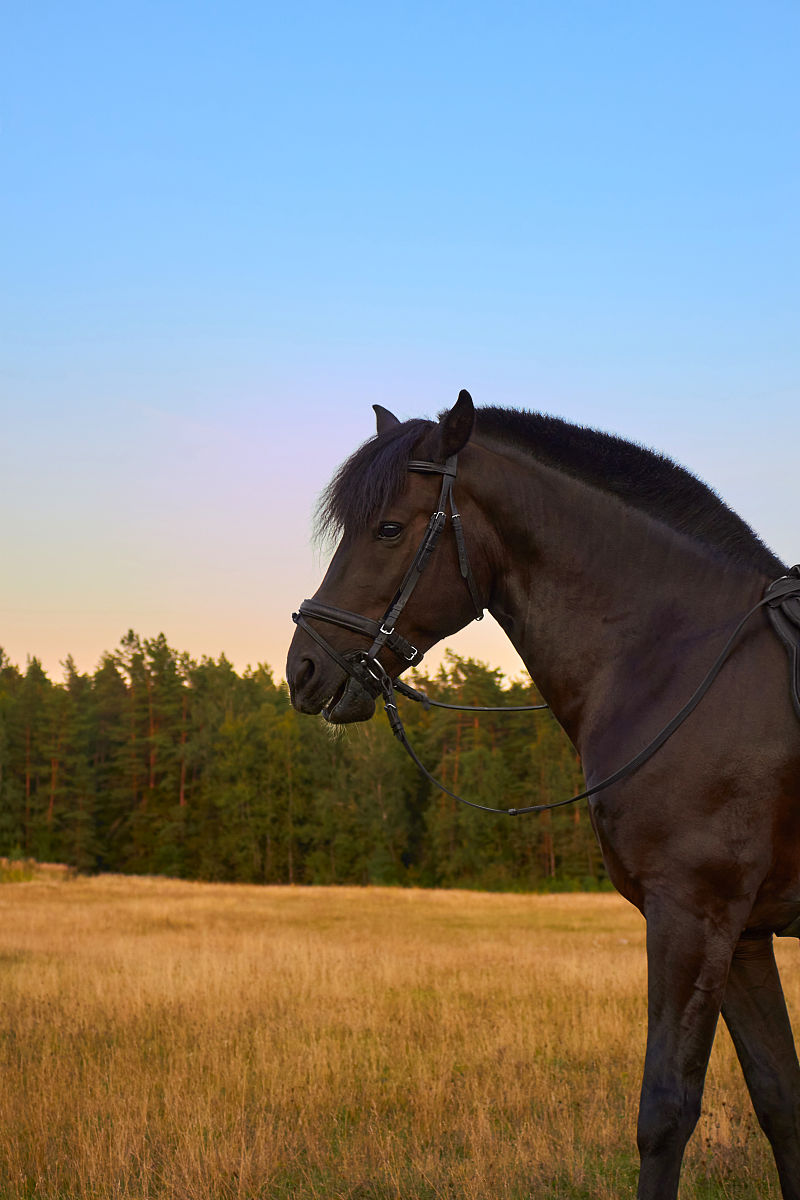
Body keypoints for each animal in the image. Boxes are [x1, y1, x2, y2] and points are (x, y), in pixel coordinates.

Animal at [286, 389, 800, 1199]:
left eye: (390, 528)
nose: (302, 668)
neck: (684, 660)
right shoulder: (744, 932)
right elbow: (781, 1102)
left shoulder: (693, 914)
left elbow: (665, 1114)